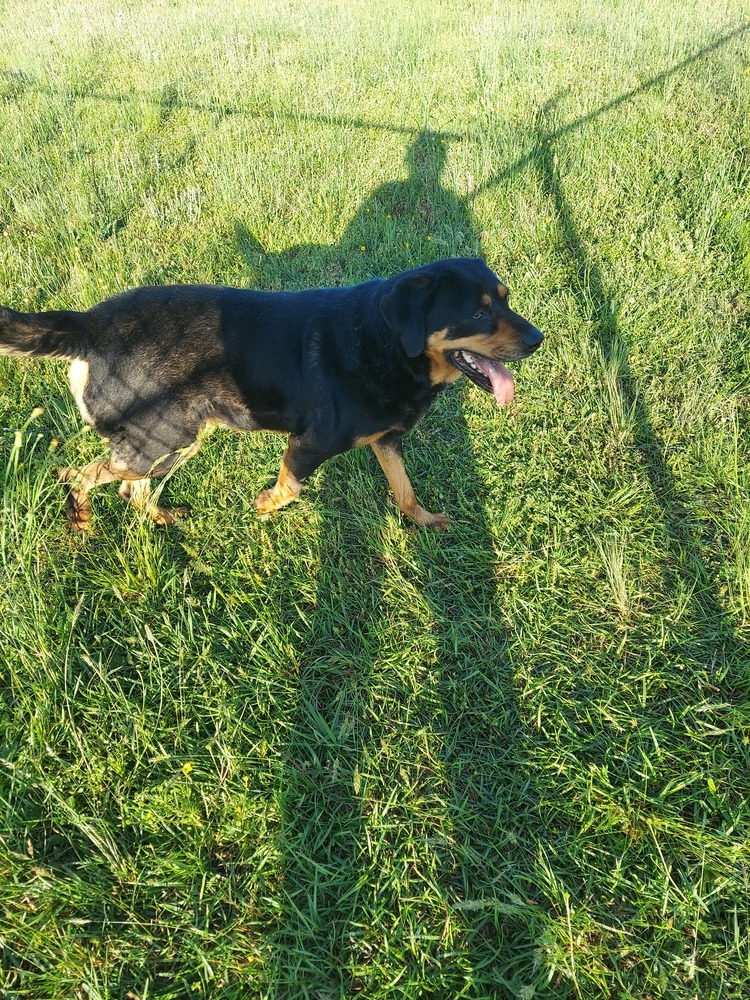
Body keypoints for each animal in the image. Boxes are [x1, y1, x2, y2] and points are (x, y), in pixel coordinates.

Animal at [0, 258, 544, 532]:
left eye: (505, 298)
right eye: (477, 313)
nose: (539, 339)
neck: (386, 344)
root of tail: (88, 324)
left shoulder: (388, 442)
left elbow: (405, 492)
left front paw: (426, 521)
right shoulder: (308, 444)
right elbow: (291, 487)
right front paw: (265, 505)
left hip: (177, 442)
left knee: (130, 490)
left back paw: (164, 519)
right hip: (161, 441)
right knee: (76, 474)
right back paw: (82, 523)